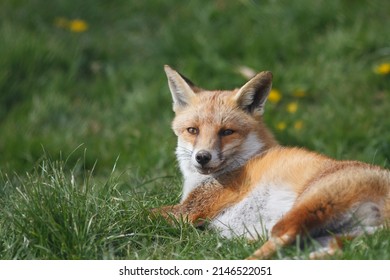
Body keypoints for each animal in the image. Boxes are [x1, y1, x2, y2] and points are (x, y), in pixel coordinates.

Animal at [153, 64, 390, 260]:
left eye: (227, 132)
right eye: (192, 130)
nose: (202, 157)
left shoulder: (188, 212)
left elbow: (146, 213)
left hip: (307, 207)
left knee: (283, 238)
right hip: (341, 235)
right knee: (331, 251)